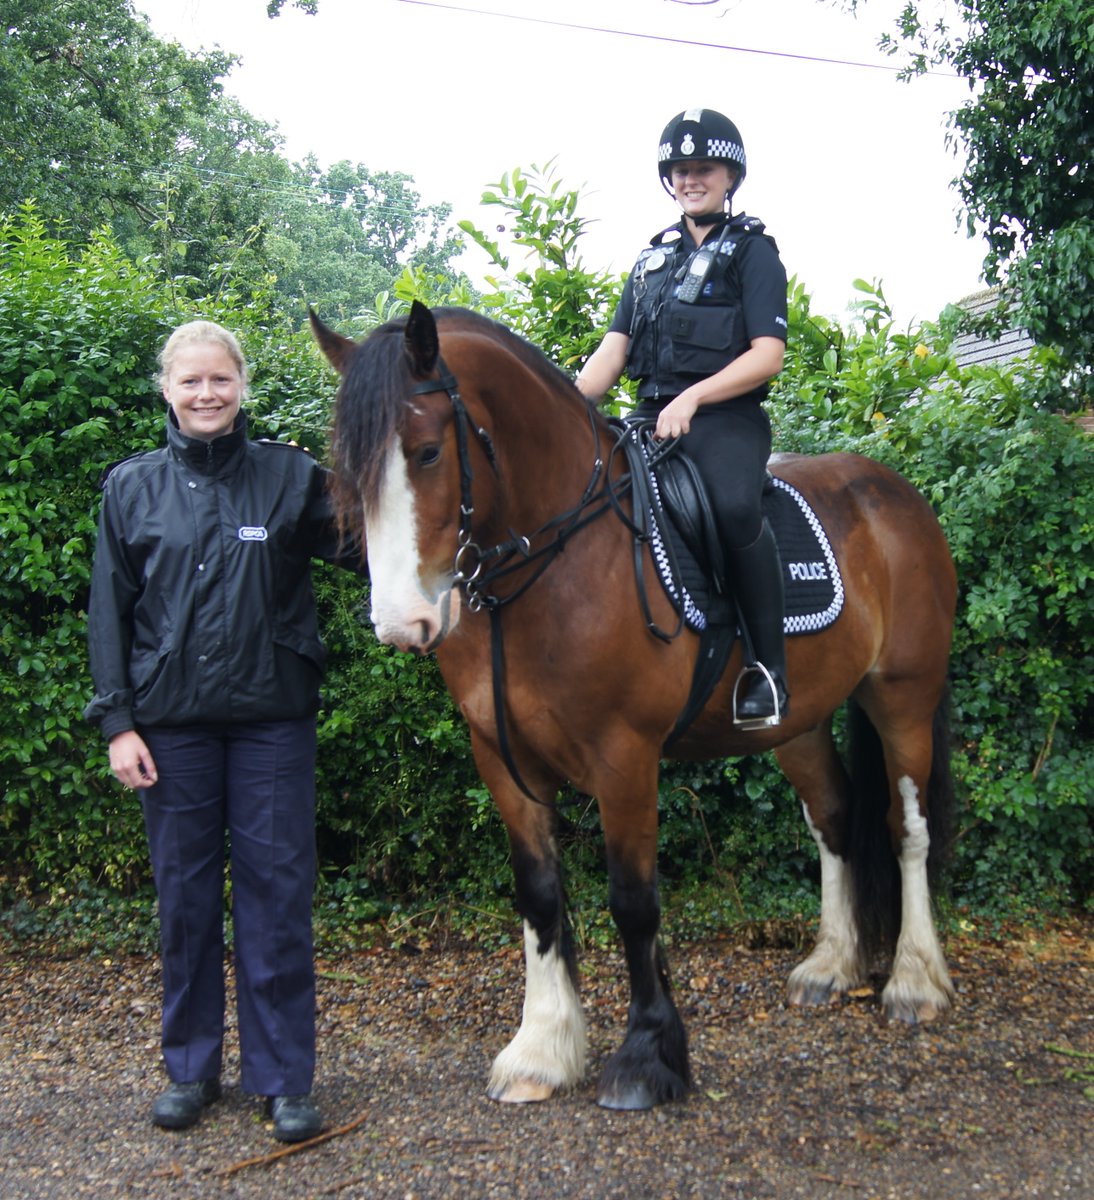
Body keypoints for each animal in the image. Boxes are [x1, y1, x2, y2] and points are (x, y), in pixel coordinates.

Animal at [314, 302, 959, 1113]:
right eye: (345, 473)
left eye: (428, 453)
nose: (404, 623)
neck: (556, 560)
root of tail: (893, 491)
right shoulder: (502, 759)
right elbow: (539, 894)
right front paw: (541, 1048)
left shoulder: (624, 755)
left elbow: (633, 900)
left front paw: (648, 1057)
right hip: (798, 720)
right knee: (835, 817)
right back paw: (832, 966)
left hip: (903, 695)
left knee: (908, 829)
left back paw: (913, 980)